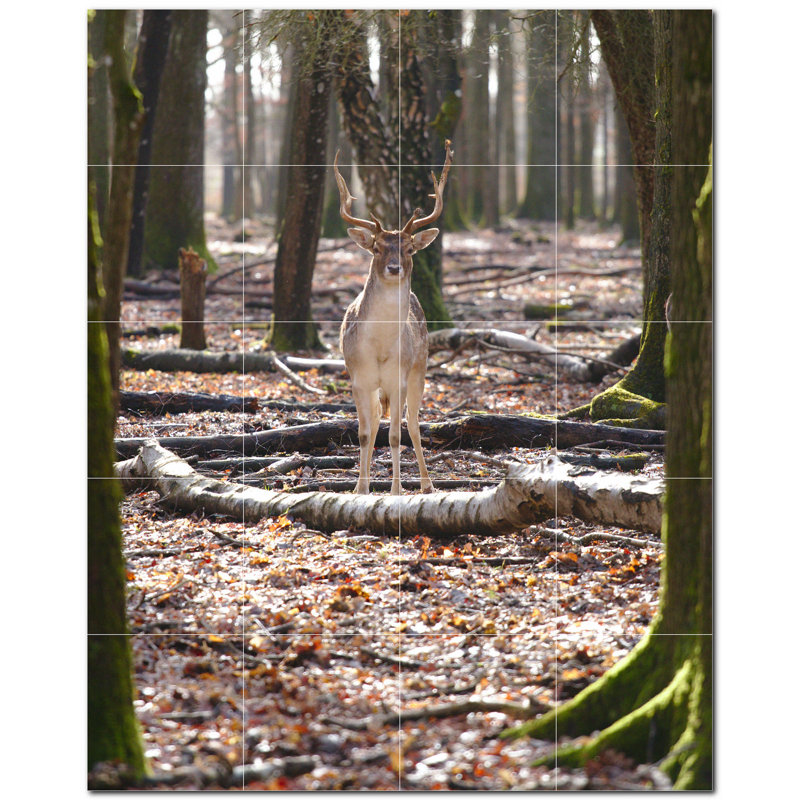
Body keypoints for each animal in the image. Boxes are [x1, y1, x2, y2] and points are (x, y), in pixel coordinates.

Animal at [334, 141, 453, 495]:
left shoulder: (399, 378)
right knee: (374, 422)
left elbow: (397, 435)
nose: (394, 267)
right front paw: (360, 489)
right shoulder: (358, 377)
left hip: (420, 369)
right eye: (376, 248)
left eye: (409, 249)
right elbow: (364, 433)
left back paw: (427, 484)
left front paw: (397, 490)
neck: (380, 349)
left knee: (413, 424)